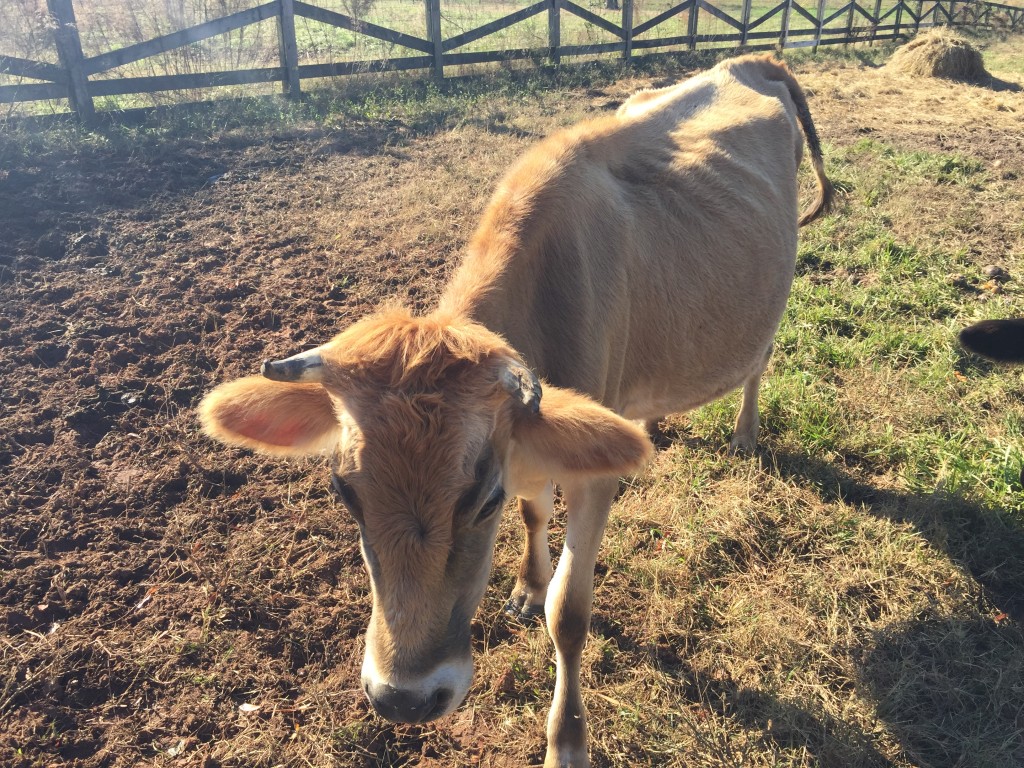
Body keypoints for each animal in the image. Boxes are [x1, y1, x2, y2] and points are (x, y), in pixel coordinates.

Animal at [197, 55, 831, 768]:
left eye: (480, 501)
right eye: (347, 495)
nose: (404, 699)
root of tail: (748, 62)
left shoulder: (590, 482)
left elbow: (569, 613)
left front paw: (568, 740)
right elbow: (535, 517)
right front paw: (528, 583)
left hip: (770, 299)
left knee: (759, 361)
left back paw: (745, 432)